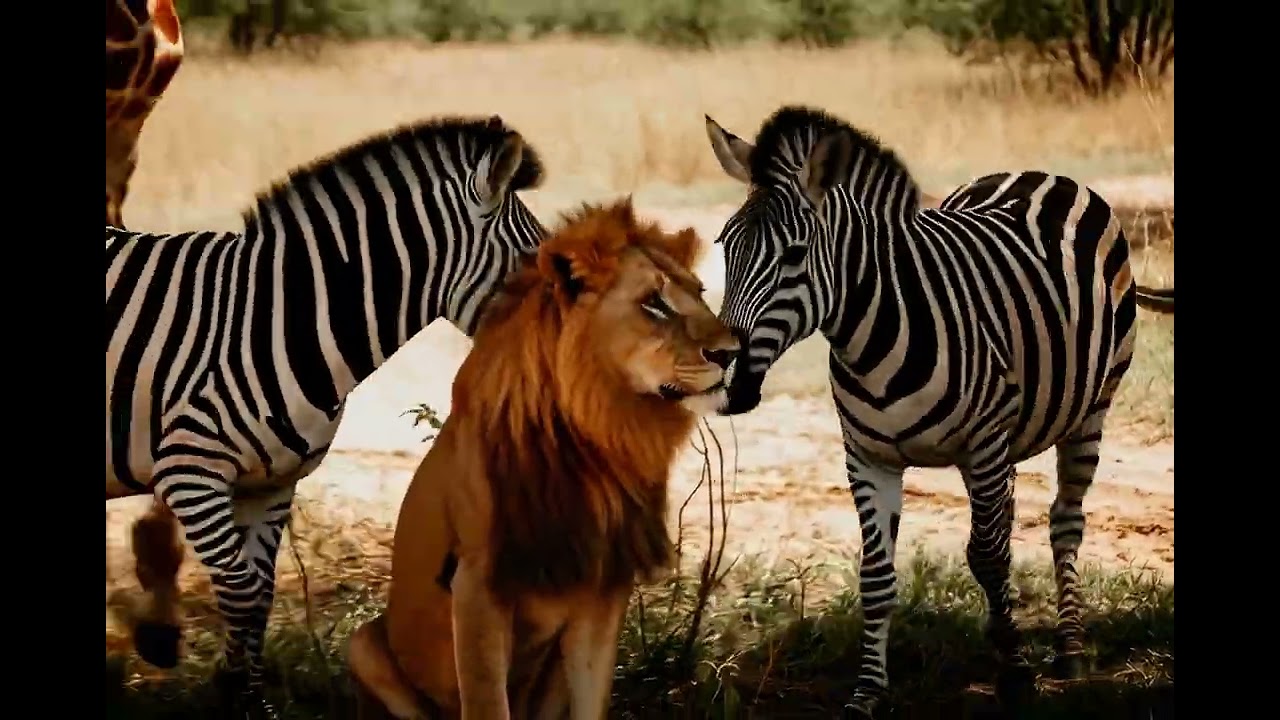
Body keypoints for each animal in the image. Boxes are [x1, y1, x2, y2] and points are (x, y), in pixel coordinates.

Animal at [345, 198, 741, 720]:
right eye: (654, 303)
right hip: (363, 644)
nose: (733, 353)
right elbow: (487, 705)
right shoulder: (477, 584)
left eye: (699, 293)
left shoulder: (602, 584)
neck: (603, 432)